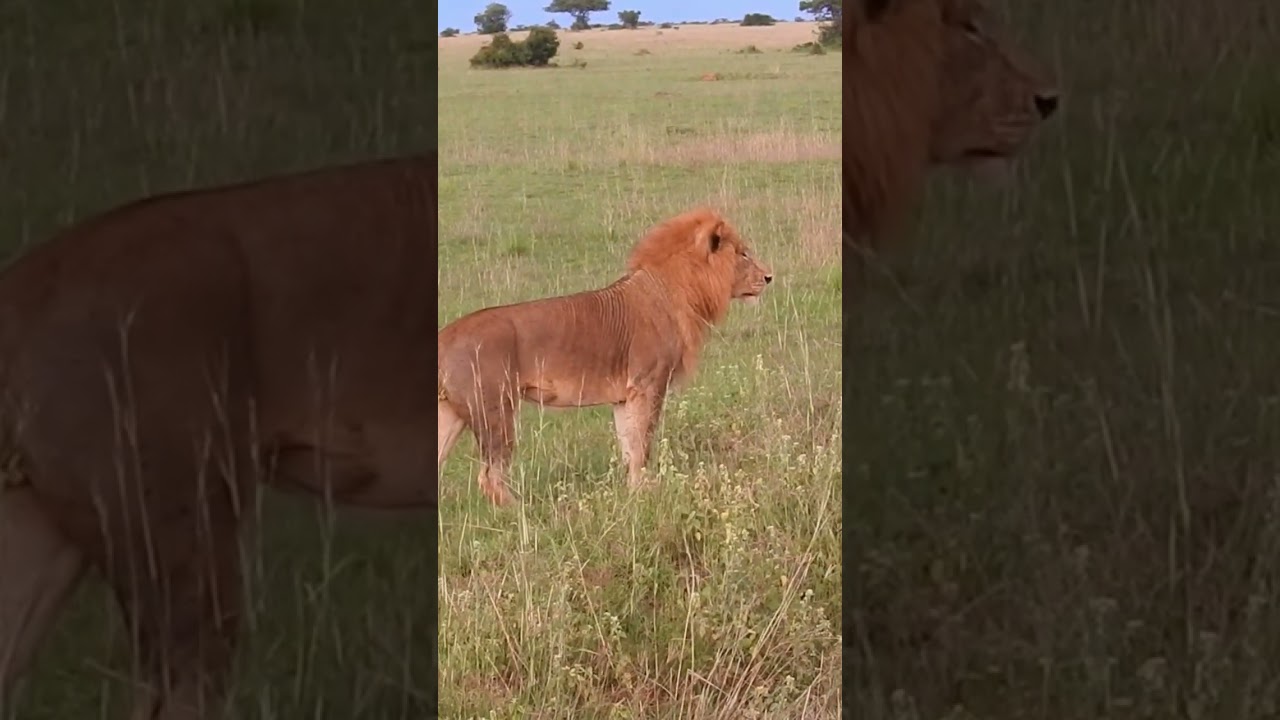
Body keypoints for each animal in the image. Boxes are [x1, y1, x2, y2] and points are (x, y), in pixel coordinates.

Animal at [436, 207, 772, 507]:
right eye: (742, 254)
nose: (769, 277)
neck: (679, 289)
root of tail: (446, 334)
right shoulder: (648, 385)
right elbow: (643, 445)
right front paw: (646, 495)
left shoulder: (624, 397)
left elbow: (629, 447)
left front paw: (633, 493)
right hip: (495, 410)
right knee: (490, 476)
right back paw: (523, 512)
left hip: (450, 414)